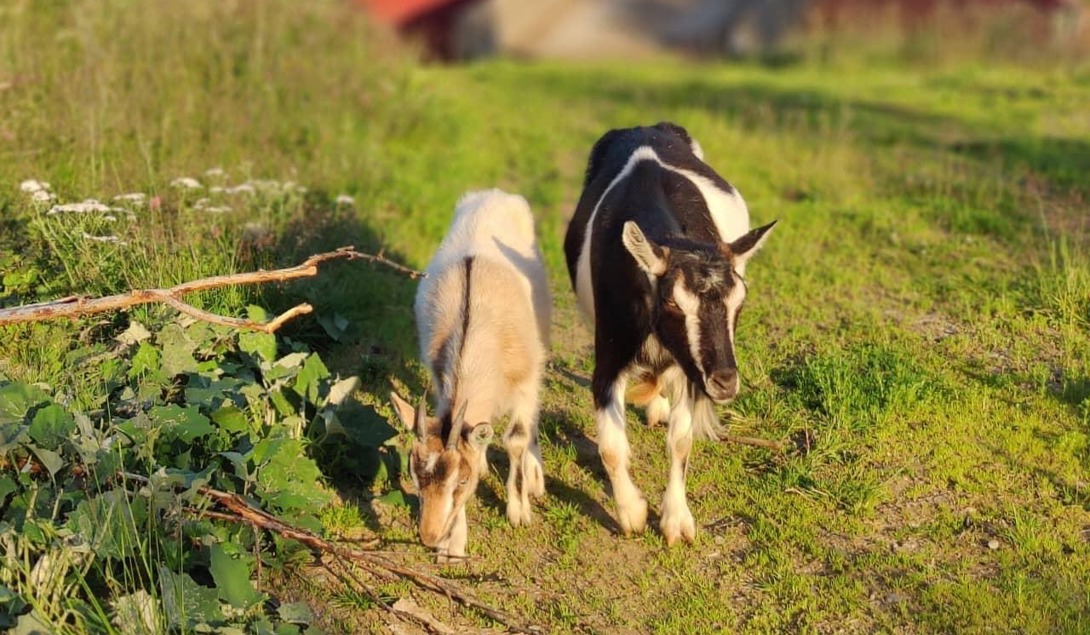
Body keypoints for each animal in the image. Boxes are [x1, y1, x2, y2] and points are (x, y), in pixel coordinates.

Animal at [391, 188, 551, 562]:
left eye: (460, 482)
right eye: (414, 475)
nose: (429, 536)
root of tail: (495, 194)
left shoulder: (525, 380)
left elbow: (516, 438)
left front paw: (518, 510)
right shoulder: (441, 380)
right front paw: (453, 546)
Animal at [563, 122, 775, 545]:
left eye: (740, 302)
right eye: (674, 304)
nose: (725, 381)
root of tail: (647, 128)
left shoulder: (692, 367)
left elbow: (680, 441)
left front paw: (677, 522)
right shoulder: (609, 355)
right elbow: (611, 447)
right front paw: (632, 514)